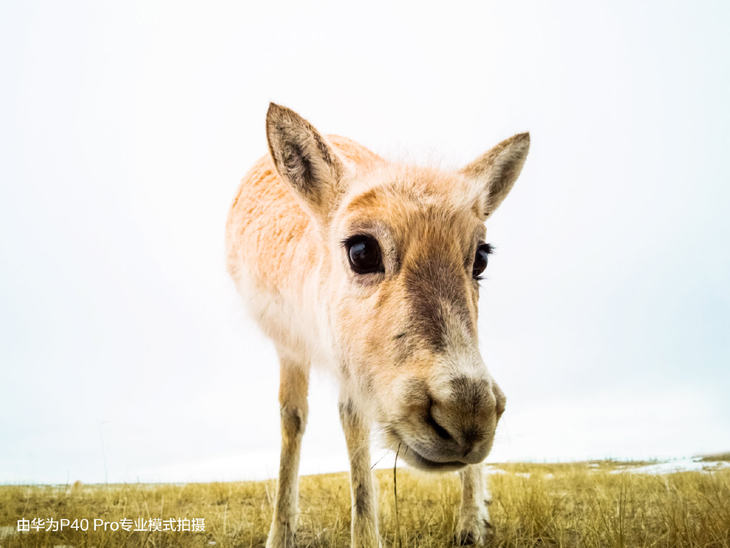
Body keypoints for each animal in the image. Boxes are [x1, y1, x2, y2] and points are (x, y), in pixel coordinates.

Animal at [225, 105, 528, 544]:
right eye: (361, 250)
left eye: (481, 258)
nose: (466, 419)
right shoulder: (290, 345)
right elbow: (292, 420)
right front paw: (279, 534)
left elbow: (351, 419)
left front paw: (365, 538)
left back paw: (471, 524)